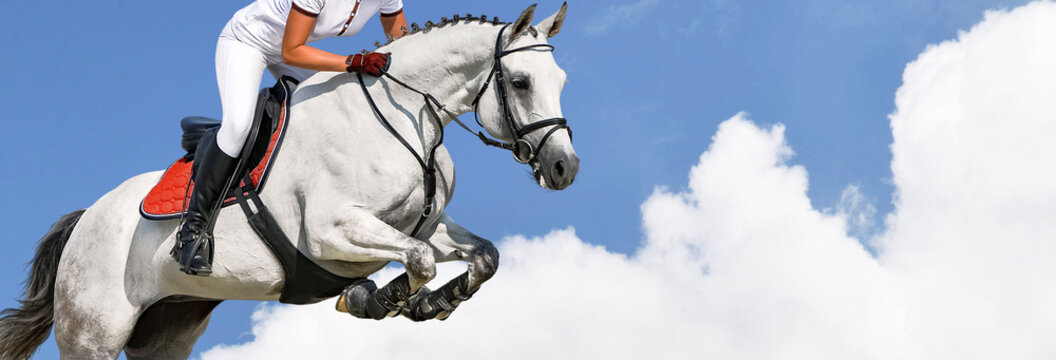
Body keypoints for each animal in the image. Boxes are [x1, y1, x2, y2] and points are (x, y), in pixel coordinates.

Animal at [0, 4, 574, 356]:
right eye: (520, 82)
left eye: (562, 80)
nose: (565, 169)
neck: (406, 115)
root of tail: (84, 220)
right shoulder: (329, 232)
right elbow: (417, 260)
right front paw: (374, 299)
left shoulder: (425, 225)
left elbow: (481, 256)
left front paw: (434, 301)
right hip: (93, 331)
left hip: (167, 329)